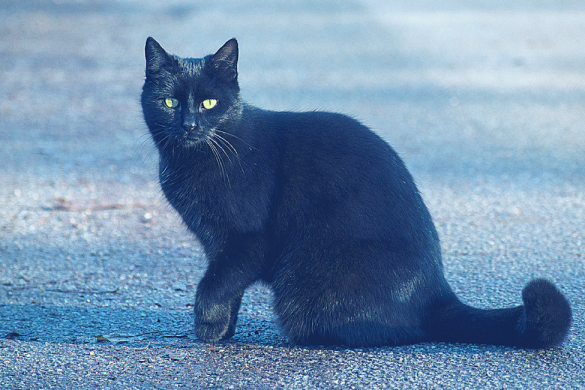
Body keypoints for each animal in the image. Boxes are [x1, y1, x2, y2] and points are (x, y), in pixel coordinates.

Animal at [139, 37, 568, 348]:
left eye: (210, 102)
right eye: (170, 102)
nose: (189, 124)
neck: (192, 160)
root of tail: (436, 292)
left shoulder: (245, 240)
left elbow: (215, 285)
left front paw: (207, 330)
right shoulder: (219, 244)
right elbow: (228, 288)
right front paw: (223, 330)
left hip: (309, 282)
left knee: (397, 332)